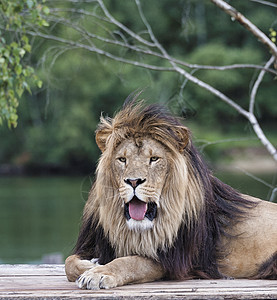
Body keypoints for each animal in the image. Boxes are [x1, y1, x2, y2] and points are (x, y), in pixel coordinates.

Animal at [65, 95, 276, 288]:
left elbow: (130, 262)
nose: (133, 181)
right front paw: (89, 265)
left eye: (154, 159)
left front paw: (99, 273)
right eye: (122, 159)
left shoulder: (173, 261)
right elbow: (69, 262)